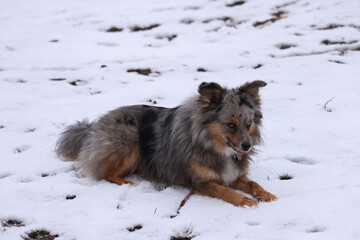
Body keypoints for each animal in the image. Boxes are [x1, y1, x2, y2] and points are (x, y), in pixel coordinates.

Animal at [55, 80, 276, 206]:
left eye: (248, 123)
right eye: (230, 124)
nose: (247, 146)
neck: (212, 144)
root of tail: (93, 126)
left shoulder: (234, 175)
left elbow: (253, 183)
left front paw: (265, 194)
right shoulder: (201, 183)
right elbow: (226, 191)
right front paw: (245, 200)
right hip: (129, 137)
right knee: (106, 175)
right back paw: (131, 183)